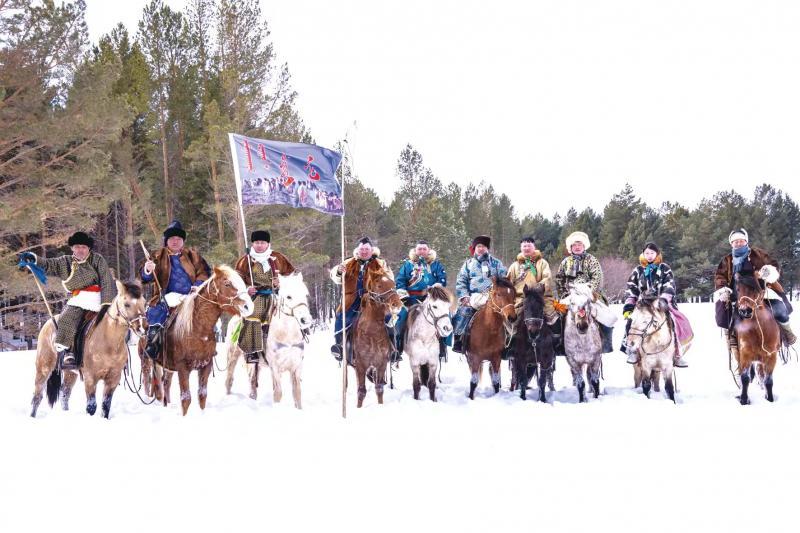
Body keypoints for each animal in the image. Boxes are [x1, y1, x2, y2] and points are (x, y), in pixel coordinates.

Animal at [30, 280, 147, 418]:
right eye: (127, 304)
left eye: (144, 303)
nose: (143, 328)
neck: (109, 343)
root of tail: (47, 324)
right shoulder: (90, 378)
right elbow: (91, 406)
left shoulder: (113, 379)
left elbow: (105, 406)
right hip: (43, 367)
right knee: (37, 396)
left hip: (70, 372)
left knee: (65, 394)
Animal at [151, 266, 253, 415]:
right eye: (227, 283)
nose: (248, 307)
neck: (197, 330)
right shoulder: (182, 367)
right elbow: (186, 398)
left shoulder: (206, 365)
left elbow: (202, 395)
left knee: (166, 384)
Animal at [225, 273, 312, 408]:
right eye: (289, 297)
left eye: (306, 294)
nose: (306, 320)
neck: (287, 335)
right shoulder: (275, 367)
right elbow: (278, 393)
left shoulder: (296, 366)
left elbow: (297, 393)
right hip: (232, 355)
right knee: (229, 379)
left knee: (252, 383)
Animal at [351, 265, 403, 408]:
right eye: (379, 285)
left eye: (393, 284)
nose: (397, 304)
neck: (371, 333)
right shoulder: (361, 365)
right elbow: (361, 391)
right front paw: (358, 407)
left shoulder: (381, 363)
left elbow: (379, 388)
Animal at [732, 271, 782, 405]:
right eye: (738, 289)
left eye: (755, 289)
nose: (745, 311)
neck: (759, 332)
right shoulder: (745, 355)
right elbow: (744, 378)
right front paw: (744, 399)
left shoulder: (771, 356)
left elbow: (768, 381)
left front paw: (769, 398)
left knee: (761, 373)